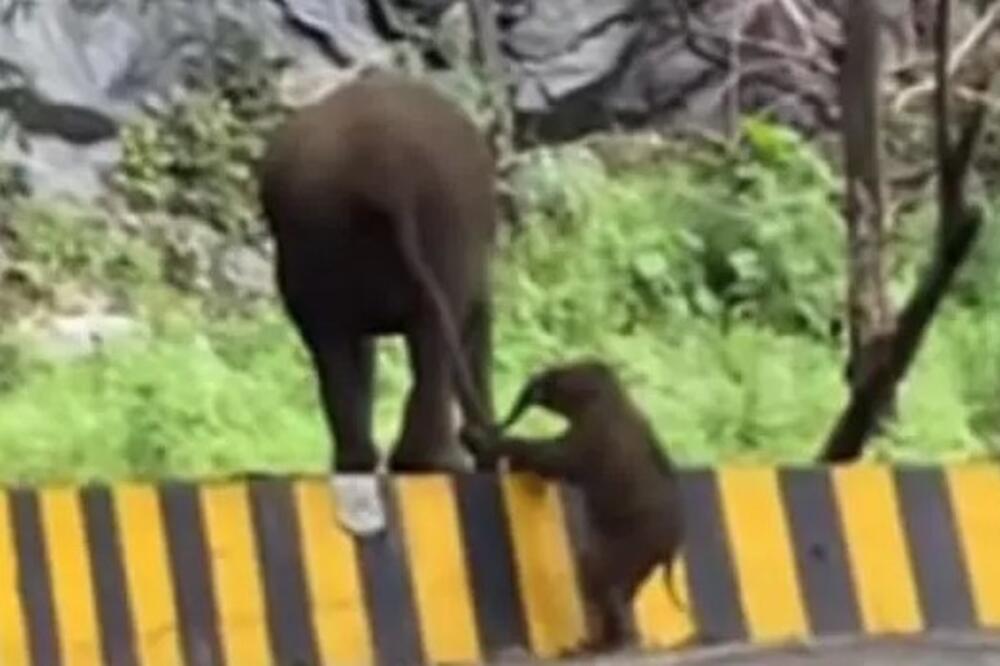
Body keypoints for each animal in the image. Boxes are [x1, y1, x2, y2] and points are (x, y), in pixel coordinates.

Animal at [256, 68, 494, 472]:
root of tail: (381, 172)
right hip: (444, 224)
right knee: (430, 330)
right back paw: (434, 462)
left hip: (315, 236)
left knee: (330, 336)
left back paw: (369, 462)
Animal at [468, 360, 688, 652]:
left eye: (560, 373)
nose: (477, 430)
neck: (612, 389)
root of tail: (671, 551)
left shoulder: (593, 433)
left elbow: (558, 459)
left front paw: (491, 448)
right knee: (621, 585)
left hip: (635, 541)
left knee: (597, 574)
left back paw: (600, 646)